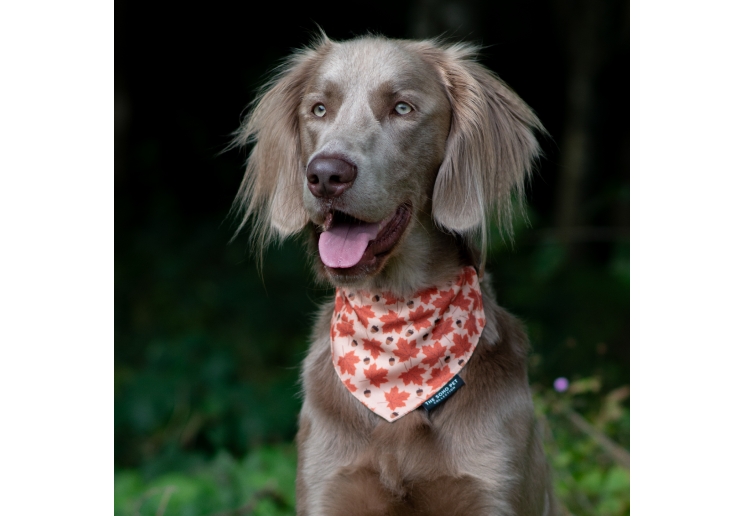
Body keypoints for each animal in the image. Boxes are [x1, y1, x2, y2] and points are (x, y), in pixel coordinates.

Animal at [232, 34, 560, 512]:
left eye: (402, 108)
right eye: (319, 109)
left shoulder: (493, 486)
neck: (396, 320)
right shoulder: (327, 485)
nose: (325, 174)